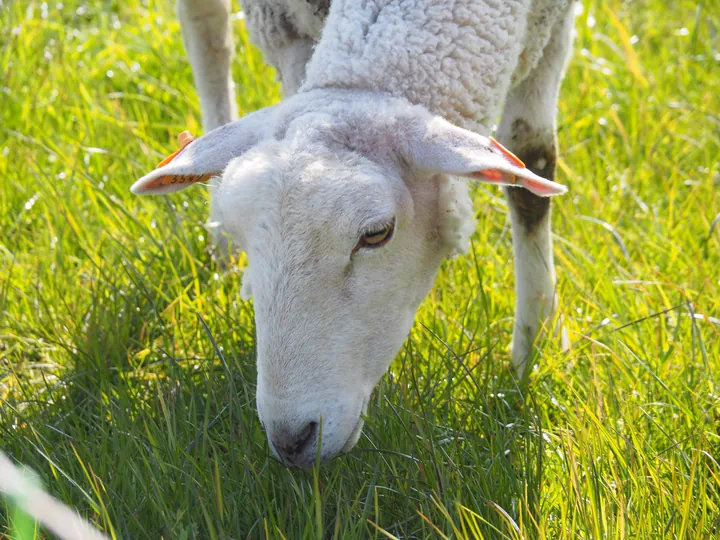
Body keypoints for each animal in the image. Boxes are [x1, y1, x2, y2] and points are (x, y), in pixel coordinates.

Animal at [132, 0, 576, 466]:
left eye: (377, 233)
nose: (292, 440)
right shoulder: (283, 27)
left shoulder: (554, 20)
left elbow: (533, 159)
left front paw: (537, 344)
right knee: (207, 35)